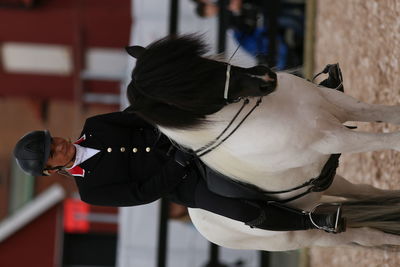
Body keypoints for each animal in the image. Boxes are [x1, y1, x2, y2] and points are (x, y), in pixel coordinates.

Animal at [126, 34, 400, 252]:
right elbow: (387, 140)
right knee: (364, 237)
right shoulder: (332, 139)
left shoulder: (338, 104)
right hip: (300, 235)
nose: (265, 77)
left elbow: (385, 113)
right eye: (187, 94)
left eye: (200, 61)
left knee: (364, 192)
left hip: (321, 184)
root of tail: (201, 223)